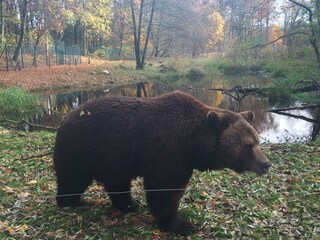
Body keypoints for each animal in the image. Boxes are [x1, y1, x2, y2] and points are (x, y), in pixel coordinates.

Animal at [53, 91, 272, 235]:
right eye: (248, 145)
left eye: (257, 140)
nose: (266, 164)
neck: (192, 143)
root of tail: (65, 118)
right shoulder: (168, 152)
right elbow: (165, 190)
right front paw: (183, 225)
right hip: (82, 147)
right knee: (72, 177)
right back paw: (73, 201)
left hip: (114, 156)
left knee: (117, 182)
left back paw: (129, 204)